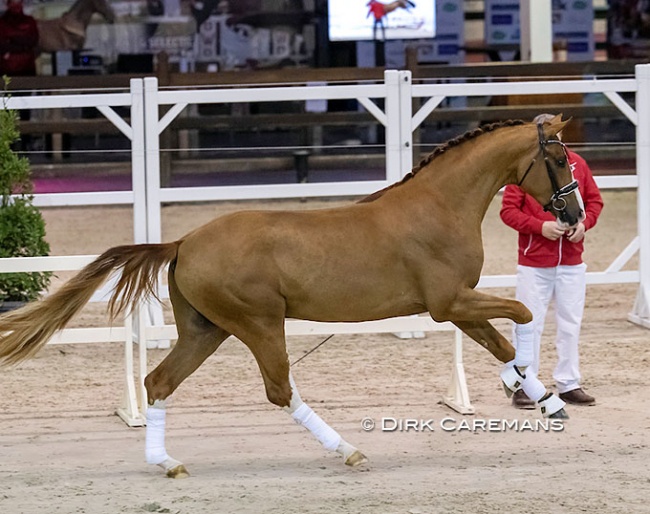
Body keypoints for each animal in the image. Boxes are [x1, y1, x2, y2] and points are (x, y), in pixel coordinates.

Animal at [0, 115, 580, 476]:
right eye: (560, 161)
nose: (574, 215)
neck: (439, 205)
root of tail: (184, 242)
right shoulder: (448, 303)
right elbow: (522, 314)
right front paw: (530, 390)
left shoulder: (456, 305)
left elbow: (501, 342)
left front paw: (544, 399)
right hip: (258, 324)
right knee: (279, 390)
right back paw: (348, 450)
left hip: (206, 330)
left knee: (160, 381)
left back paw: (166, 463)